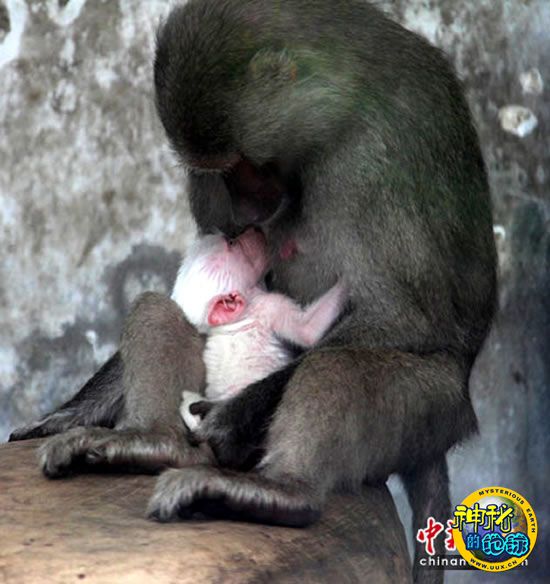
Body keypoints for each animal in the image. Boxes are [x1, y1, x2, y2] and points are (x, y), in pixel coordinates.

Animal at [169, 227, 346, 431]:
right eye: (232, 243)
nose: (254, 228)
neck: (227, 325)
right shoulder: (269, 305)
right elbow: (307, 330)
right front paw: (347, 281)